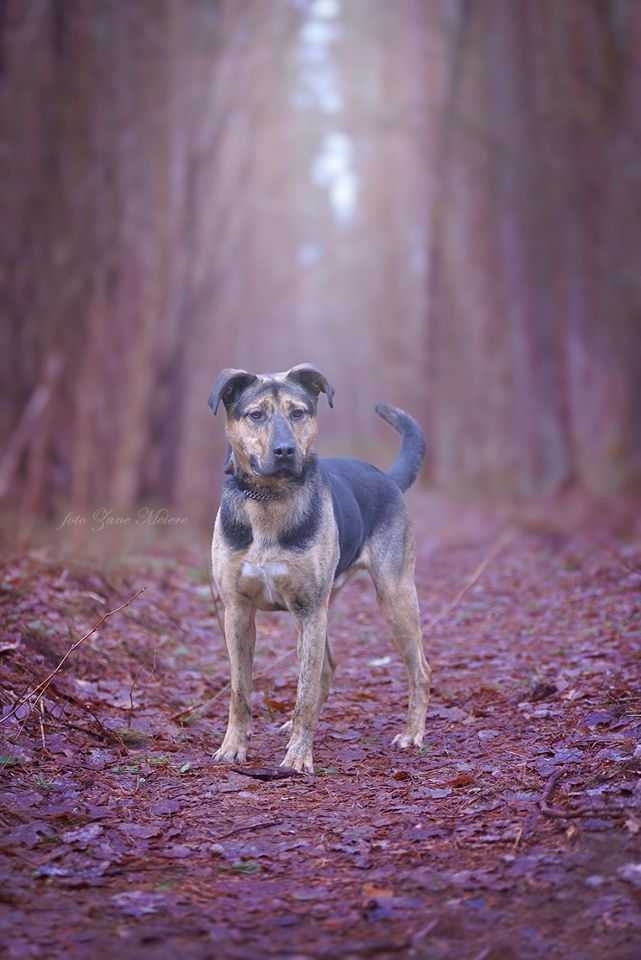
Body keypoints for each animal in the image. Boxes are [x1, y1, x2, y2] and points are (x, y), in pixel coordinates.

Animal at [209, 360, 430, 772]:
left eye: (298, 412)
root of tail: (386, 478)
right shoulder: (238, 612)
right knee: (327, 668)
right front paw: (233, 746)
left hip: (393, 598)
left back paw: (412, 733)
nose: (284, 451)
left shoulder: (310, 610)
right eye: (255, 414)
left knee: (419, 670)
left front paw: (298, 757)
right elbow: (239, 691)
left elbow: (305, 693)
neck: (269, 499)